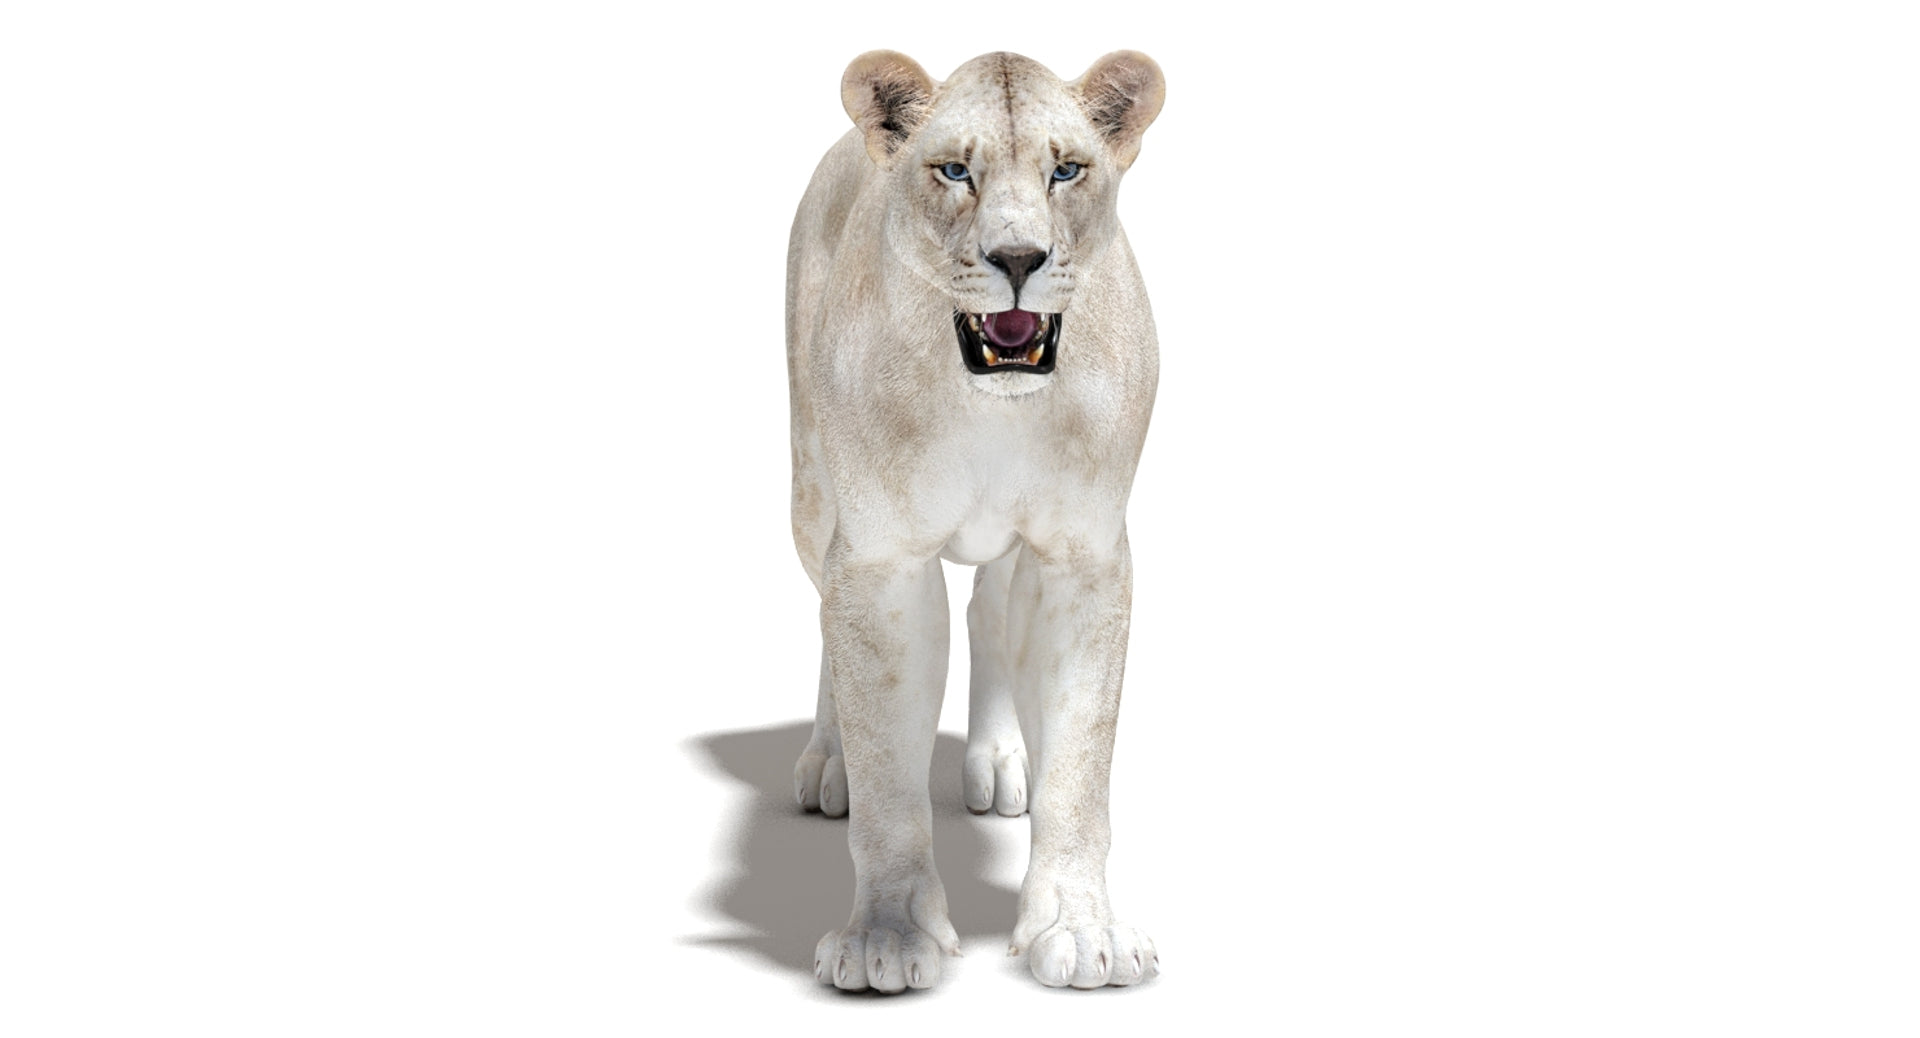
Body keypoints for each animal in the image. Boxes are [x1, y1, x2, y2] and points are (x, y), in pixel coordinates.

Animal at [784, 49, 1166, 992]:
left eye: (1067, 170)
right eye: (955, 170)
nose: (1019, 256)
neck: (992, 402)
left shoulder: (1083, 554)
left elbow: (1081, 762)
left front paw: (1082, 932)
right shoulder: (880, 557)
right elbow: (887, 761)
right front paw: (886, 939)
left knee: (990, 609)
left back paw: (998, 760)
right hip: (811, 497)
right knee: (826, 615)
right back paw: (829, 761)